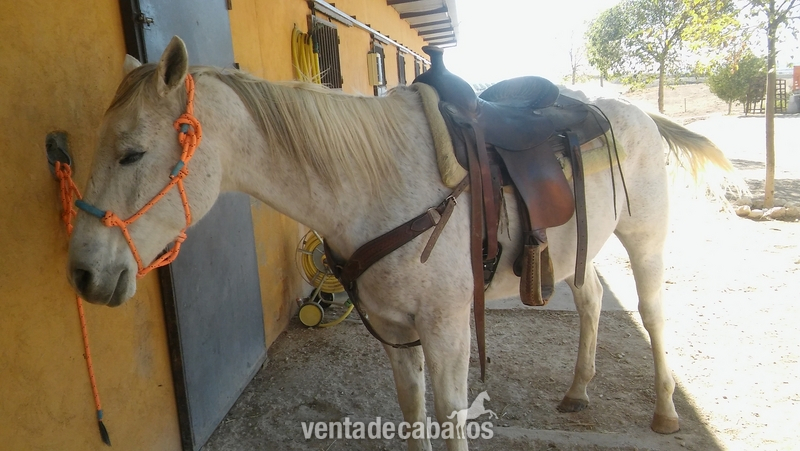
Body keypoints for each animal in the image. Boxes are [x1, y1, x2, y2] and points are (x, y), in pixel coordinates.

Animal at [67, 37, 733, 451]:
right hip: (580, 252)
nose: (82, 274)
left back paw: (665, 411)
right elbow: (413, 415)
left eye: (132, 153)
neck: (377, 184)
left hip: (644, 241)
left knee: (651, 313)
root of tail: (636, 112)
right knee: (592, 301)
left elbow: (450, 418)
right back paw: (577, 391)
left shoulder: (446, 328)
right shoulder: (393, 330)